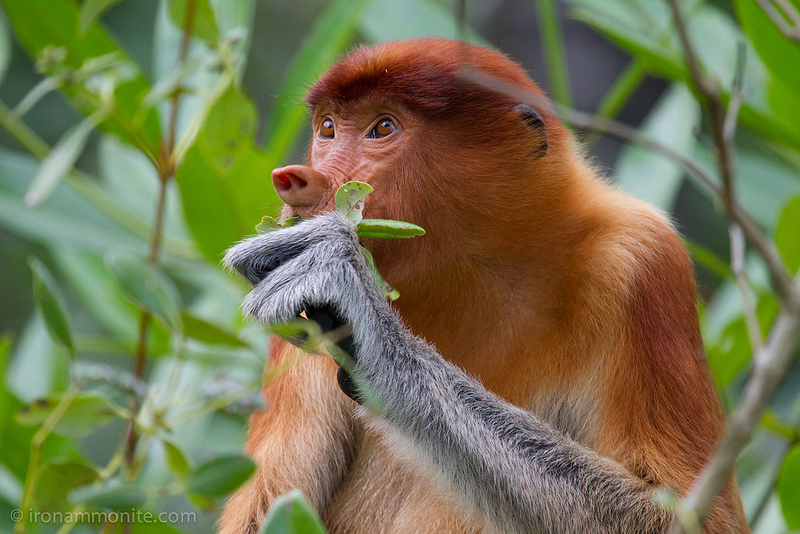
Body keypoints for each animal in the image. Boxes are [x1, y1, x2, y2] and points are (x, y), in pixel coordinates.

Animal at [219, 38, 748, 533]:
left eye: (383, 128)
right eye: (327, 128)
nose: (294, 180)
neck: (477, 270)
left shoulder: (644, 260)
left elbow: (689, 514)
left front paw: (371, 327)